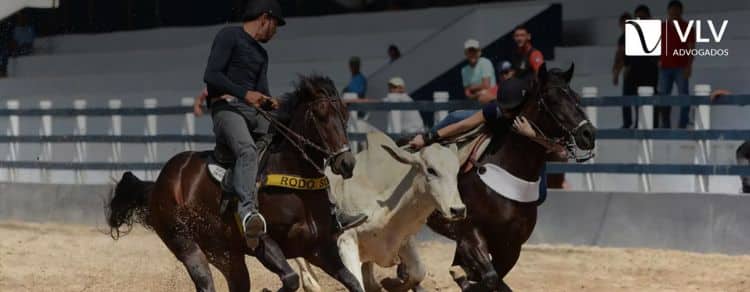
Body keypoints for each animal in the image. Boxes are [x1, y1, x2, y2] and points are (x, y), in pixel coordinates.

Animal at [108, 76, 368, 292]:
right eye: (320, 115)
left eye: (345, 114)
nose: (346, 162)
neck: (299, 190)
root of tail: (159, 184)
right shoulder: (263, 243)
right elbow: (291, 279)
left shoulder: (319, 248)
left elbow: (353, 282)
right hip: (186, 245)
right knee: (205, 281)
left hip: (226, 255)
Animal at [298, 131, 464, 290]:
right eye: (431, 170)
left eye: (456, 171)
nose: (458, 210)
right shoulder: (346, 241)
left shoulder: (403, 240)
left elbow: (418, 272)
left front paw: (390, 283)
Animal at [426, 64, 596, 292]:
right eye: (552, 99)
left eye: (576, 97)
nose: (588, 133)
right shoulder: (470, 234)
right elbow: (488, 277)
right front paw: (463, 276)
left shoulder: (511, 247)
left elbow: (492, 278)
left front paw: (463, 275)